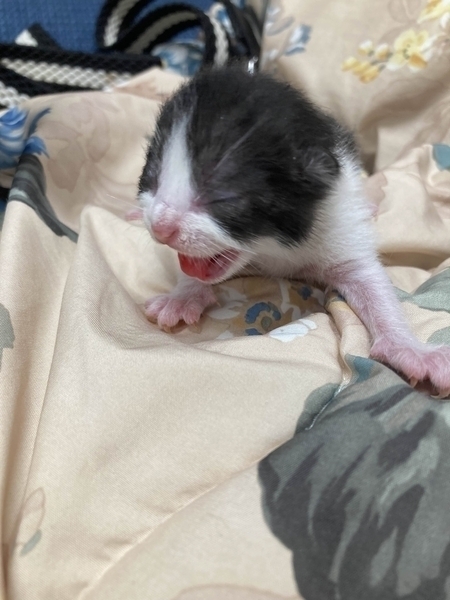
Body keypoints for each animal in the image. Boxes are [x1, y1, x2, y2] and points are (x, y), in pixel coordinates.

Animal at [129, 65, 450, 395]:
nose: (161, 227)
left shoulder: (338, 223)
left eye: (224, 198)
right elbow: (191, 266)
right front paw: (183, 297)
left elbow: (371, 282)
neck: (275, 248)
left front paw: (410, 349)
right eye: (150, 178)